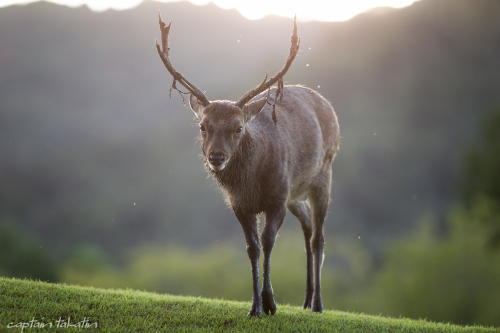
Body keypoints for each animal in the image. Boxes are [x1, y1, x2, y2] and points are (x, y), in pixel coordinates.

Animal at [156, 11, 340, 316]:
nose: (216, 157)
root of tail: (327, 104)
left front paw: (270, 303)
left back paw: (317, 304)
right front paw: (254, 307)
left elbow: (268, 242)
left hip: (323, 173)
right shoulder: (240, 205)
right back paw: (304, 300)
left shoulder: (277, 198)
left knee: (319, 237)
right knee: (307, 227)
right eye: (203, 126)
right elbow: (252, 248)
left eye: (238, 128)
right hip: (295, 193)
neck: (250, 184)